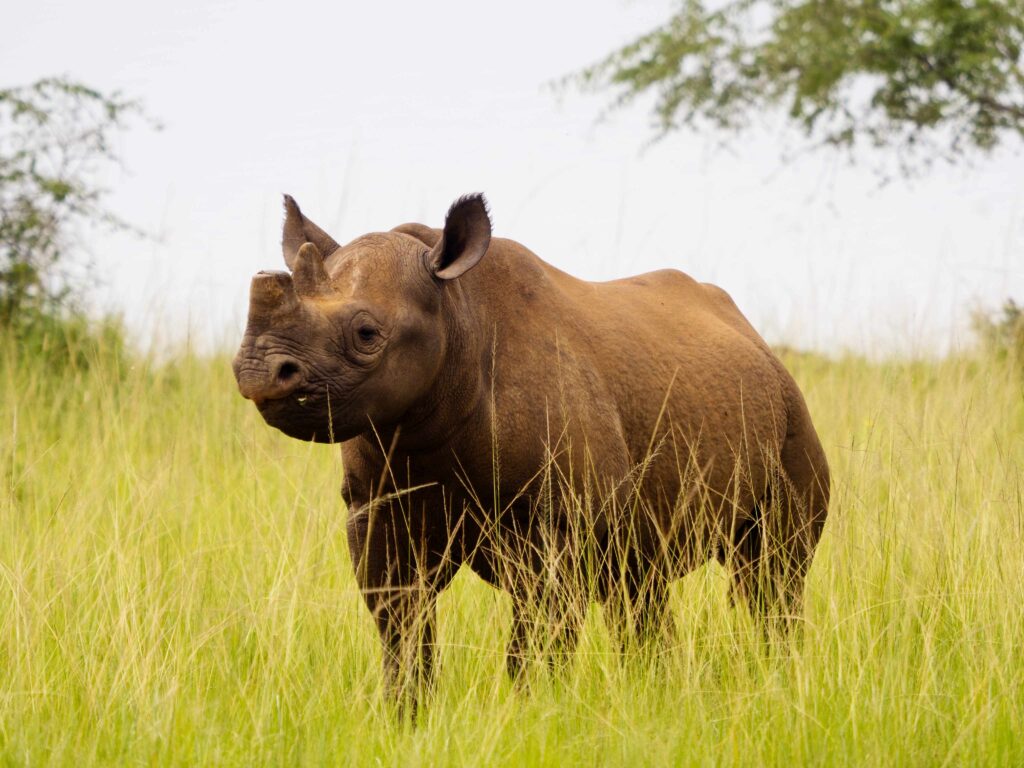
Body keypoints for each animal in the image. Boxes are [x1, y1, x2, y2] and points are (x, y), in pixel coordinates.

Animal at [233, 193, 830, 701]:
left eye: (366, 335)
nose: (261, 371)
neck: (456, 317)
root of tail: (751, 332)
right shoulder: (375, 505)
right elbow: (401, 624)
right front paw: (406, 717)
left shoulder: (561, 522)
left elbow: (539, 634)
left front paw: (535, 710)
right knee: (640, 584)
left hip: (791, 411)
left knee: (771, 577)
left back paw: (782, 678)